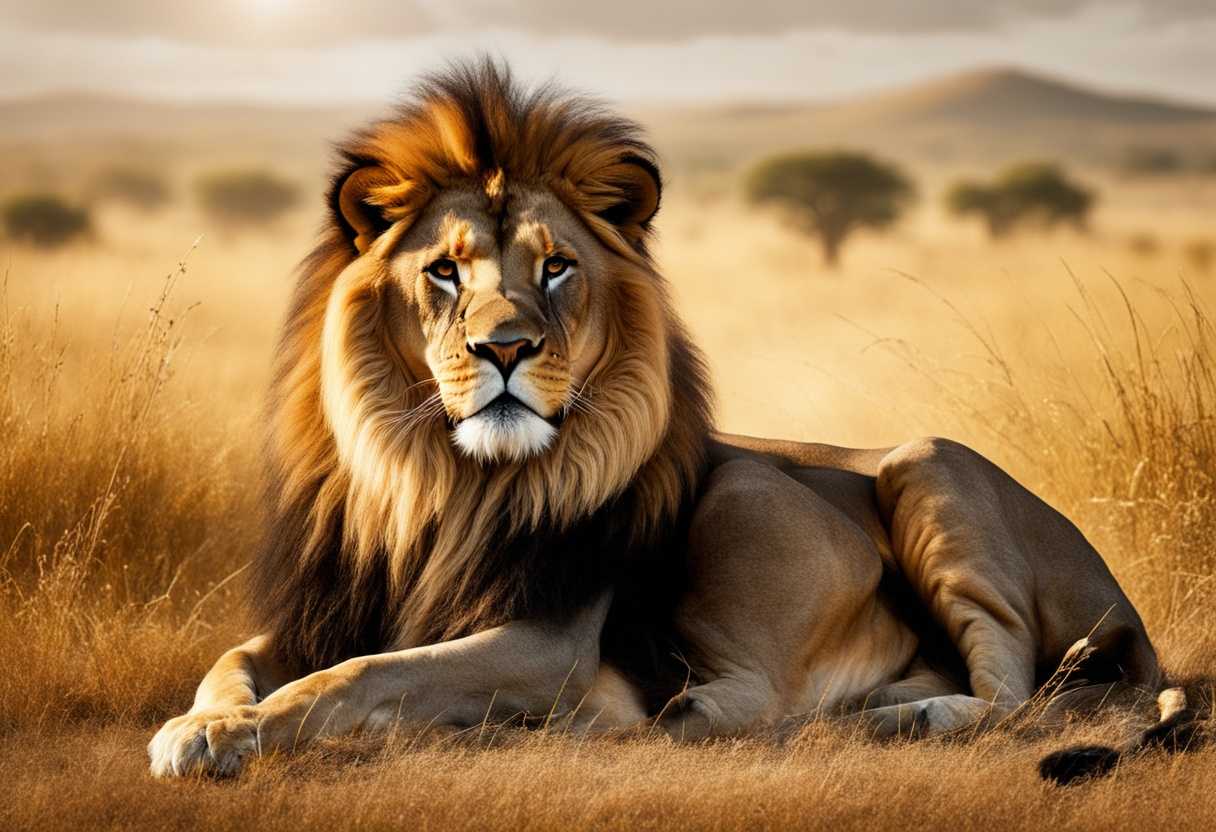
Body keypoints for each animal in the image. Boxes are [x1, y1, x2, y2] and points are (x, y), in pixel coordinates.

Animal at [148, 62, 1188, 783]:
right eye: (443, 271)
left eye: (556, 267)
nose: (505, 348)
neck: (440, 485)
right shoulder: (320, 613)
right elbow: (236, 662)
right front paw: (206, 724)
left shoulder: (548, 644)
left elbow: (363, 675)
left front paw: (231, 734)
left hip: (894, 468)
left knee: (1015, 696)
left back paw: (868, 718)